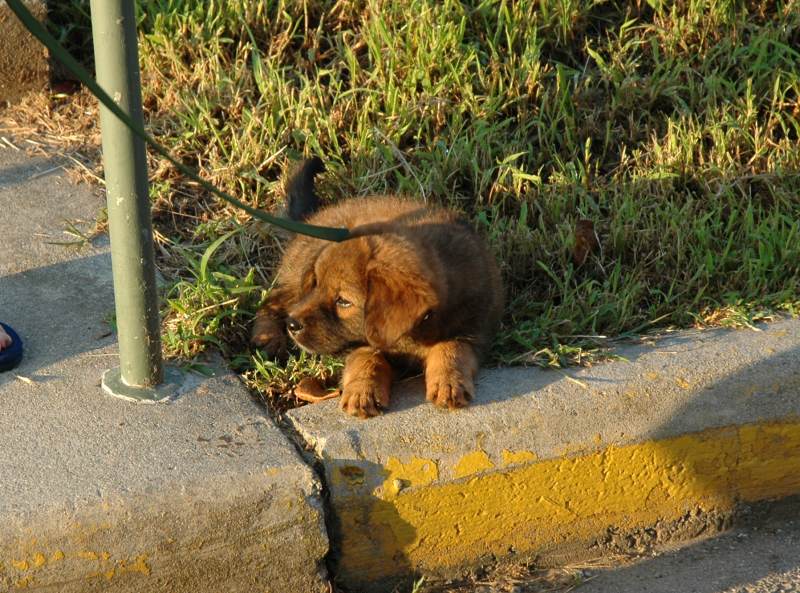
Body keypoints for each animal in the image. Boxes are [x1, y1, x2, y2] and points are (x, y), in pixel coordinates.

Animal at [252, 157, 500, 416]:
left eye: (343, 301)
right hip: (298, 281)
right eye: (317, 284)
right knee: (272, 300)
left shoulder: (473, 331)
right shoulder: (363, 340)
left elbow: (451, 348)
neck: (413, 335)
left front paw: (448, 383)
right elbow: (367, 358)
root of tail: (314, 218)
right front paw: (363, 391)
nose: (292, 325)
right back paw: (267, 336)